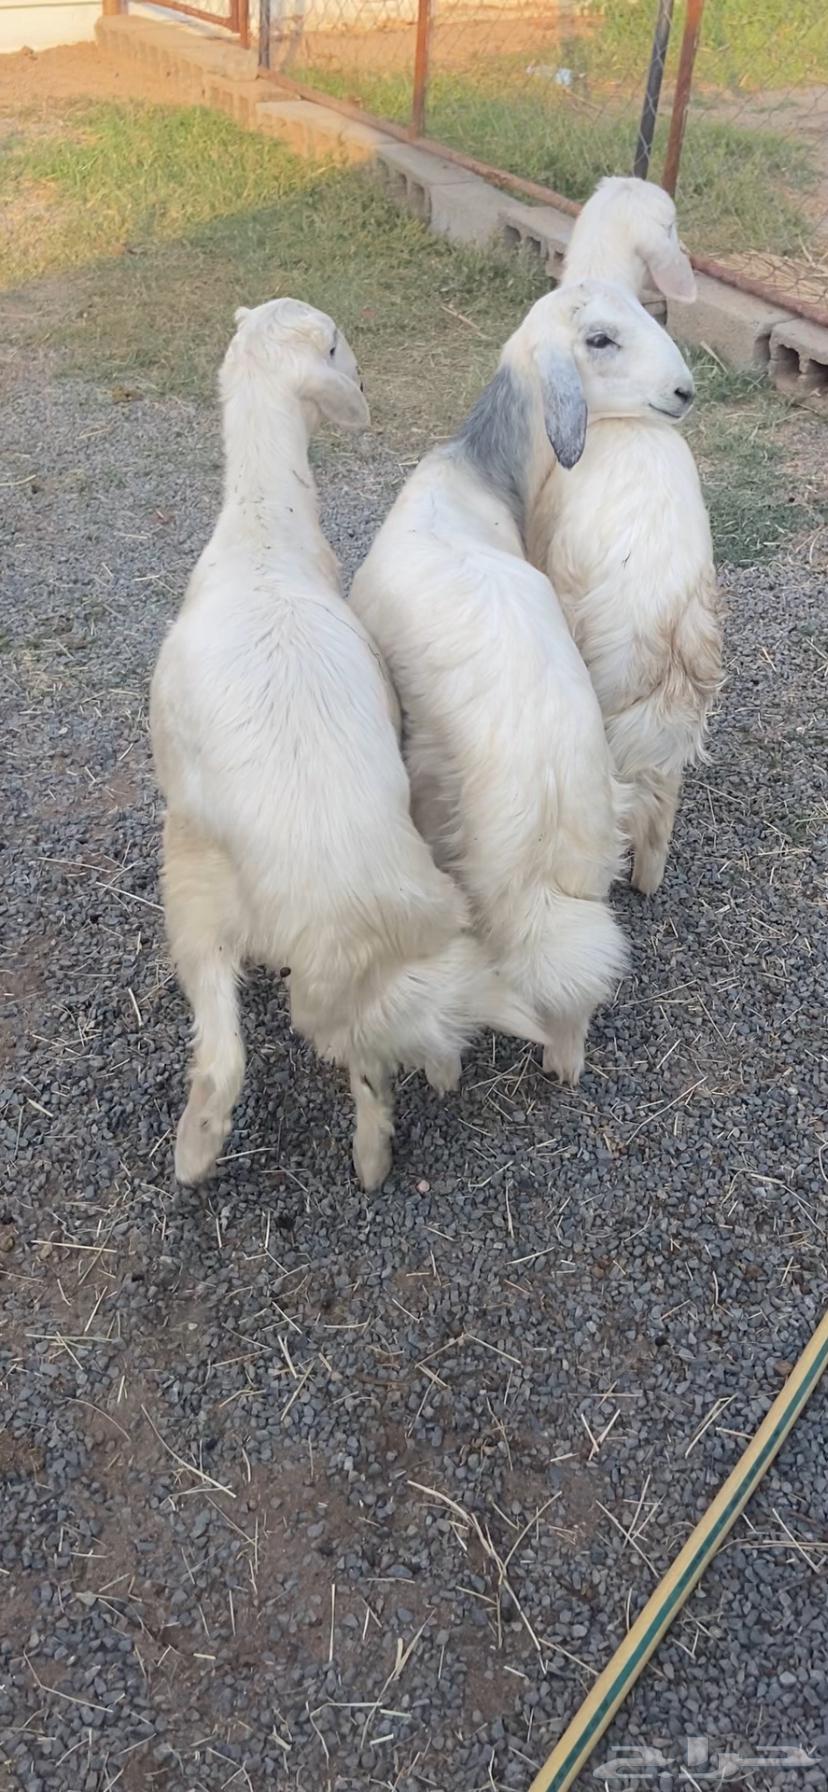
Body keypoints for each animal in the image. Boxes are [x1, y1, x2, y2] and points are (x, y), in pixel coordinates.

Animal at [150, 297, 545, 1192]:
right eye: (338, 345)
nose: (363, 385)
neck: (264, 541)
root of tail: (346, 914)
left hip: (194, 882)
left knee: (226, 1053)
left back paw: (197, 1150)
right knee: (372, 1059)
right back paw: (376, 1149)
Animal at [350, 279, 696, 1085]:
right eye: (600, 338)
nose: (685, 391)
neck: (472, 474)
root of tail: (550, 804)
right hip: (590, 863)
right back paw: (566, 1060)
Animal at [527, 177, 723, 896]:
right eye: (673, 225)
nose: (684, 393)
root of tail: (672, 634)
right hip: (663, 735)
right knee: (657, 811)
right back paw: (646, 880)